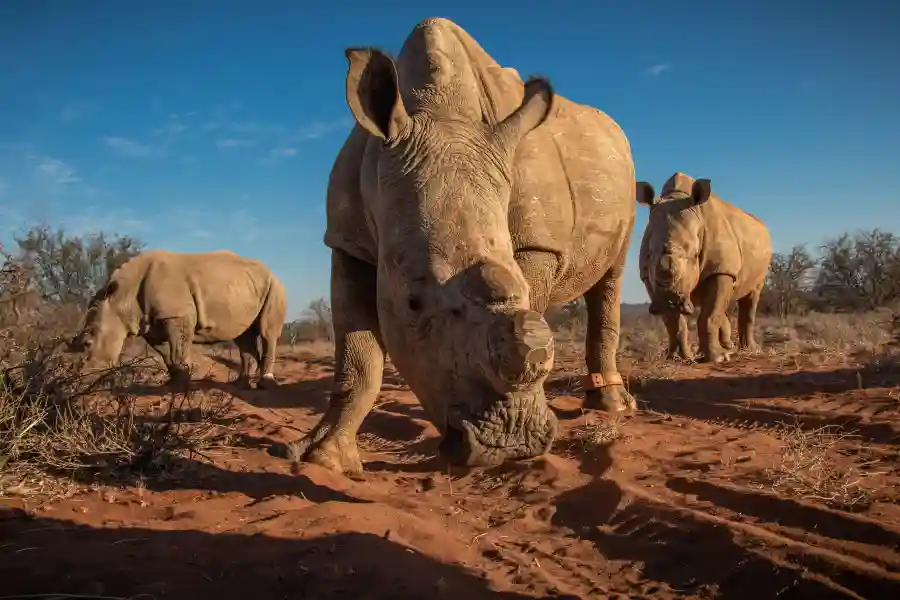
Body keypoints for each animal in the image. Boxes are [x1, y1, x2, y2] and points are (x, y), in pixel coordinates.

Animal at [68, 249, 288, 389]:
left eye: (88, 343)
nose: (80, 379)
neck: (121, 298)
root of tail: (273, 272)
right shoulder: (151, 325)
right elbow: (166, 353)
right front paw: (174, 383)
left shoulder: (177, 315)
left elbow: (177, 349)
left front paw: (180, 386)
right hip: (248, 288)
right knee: (243, 337)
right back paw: (240, 384)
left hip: (275, 287)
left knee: (267, 333)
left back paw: (265, 384)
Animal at [282, 17, 638, 476]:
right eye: (412, 303)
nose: (510, 445)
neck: (439, 111)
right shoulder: (348, 242)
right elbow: (357, 359)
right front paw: (321, 458)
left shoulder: (538, 245)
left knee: (611, 276)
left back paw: (613, 407)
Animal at [636, 172, 773, 363]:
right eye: (649, 254)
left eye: (695, 254)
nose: (670, 301)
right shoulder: (647, 275)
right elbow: (674, 323)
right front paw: (676, 358)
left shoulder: (722, 269)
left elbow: (709, 315)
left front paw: (718, 359)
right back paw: (722, 348)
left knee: (752, 295)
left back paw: (750, 350)